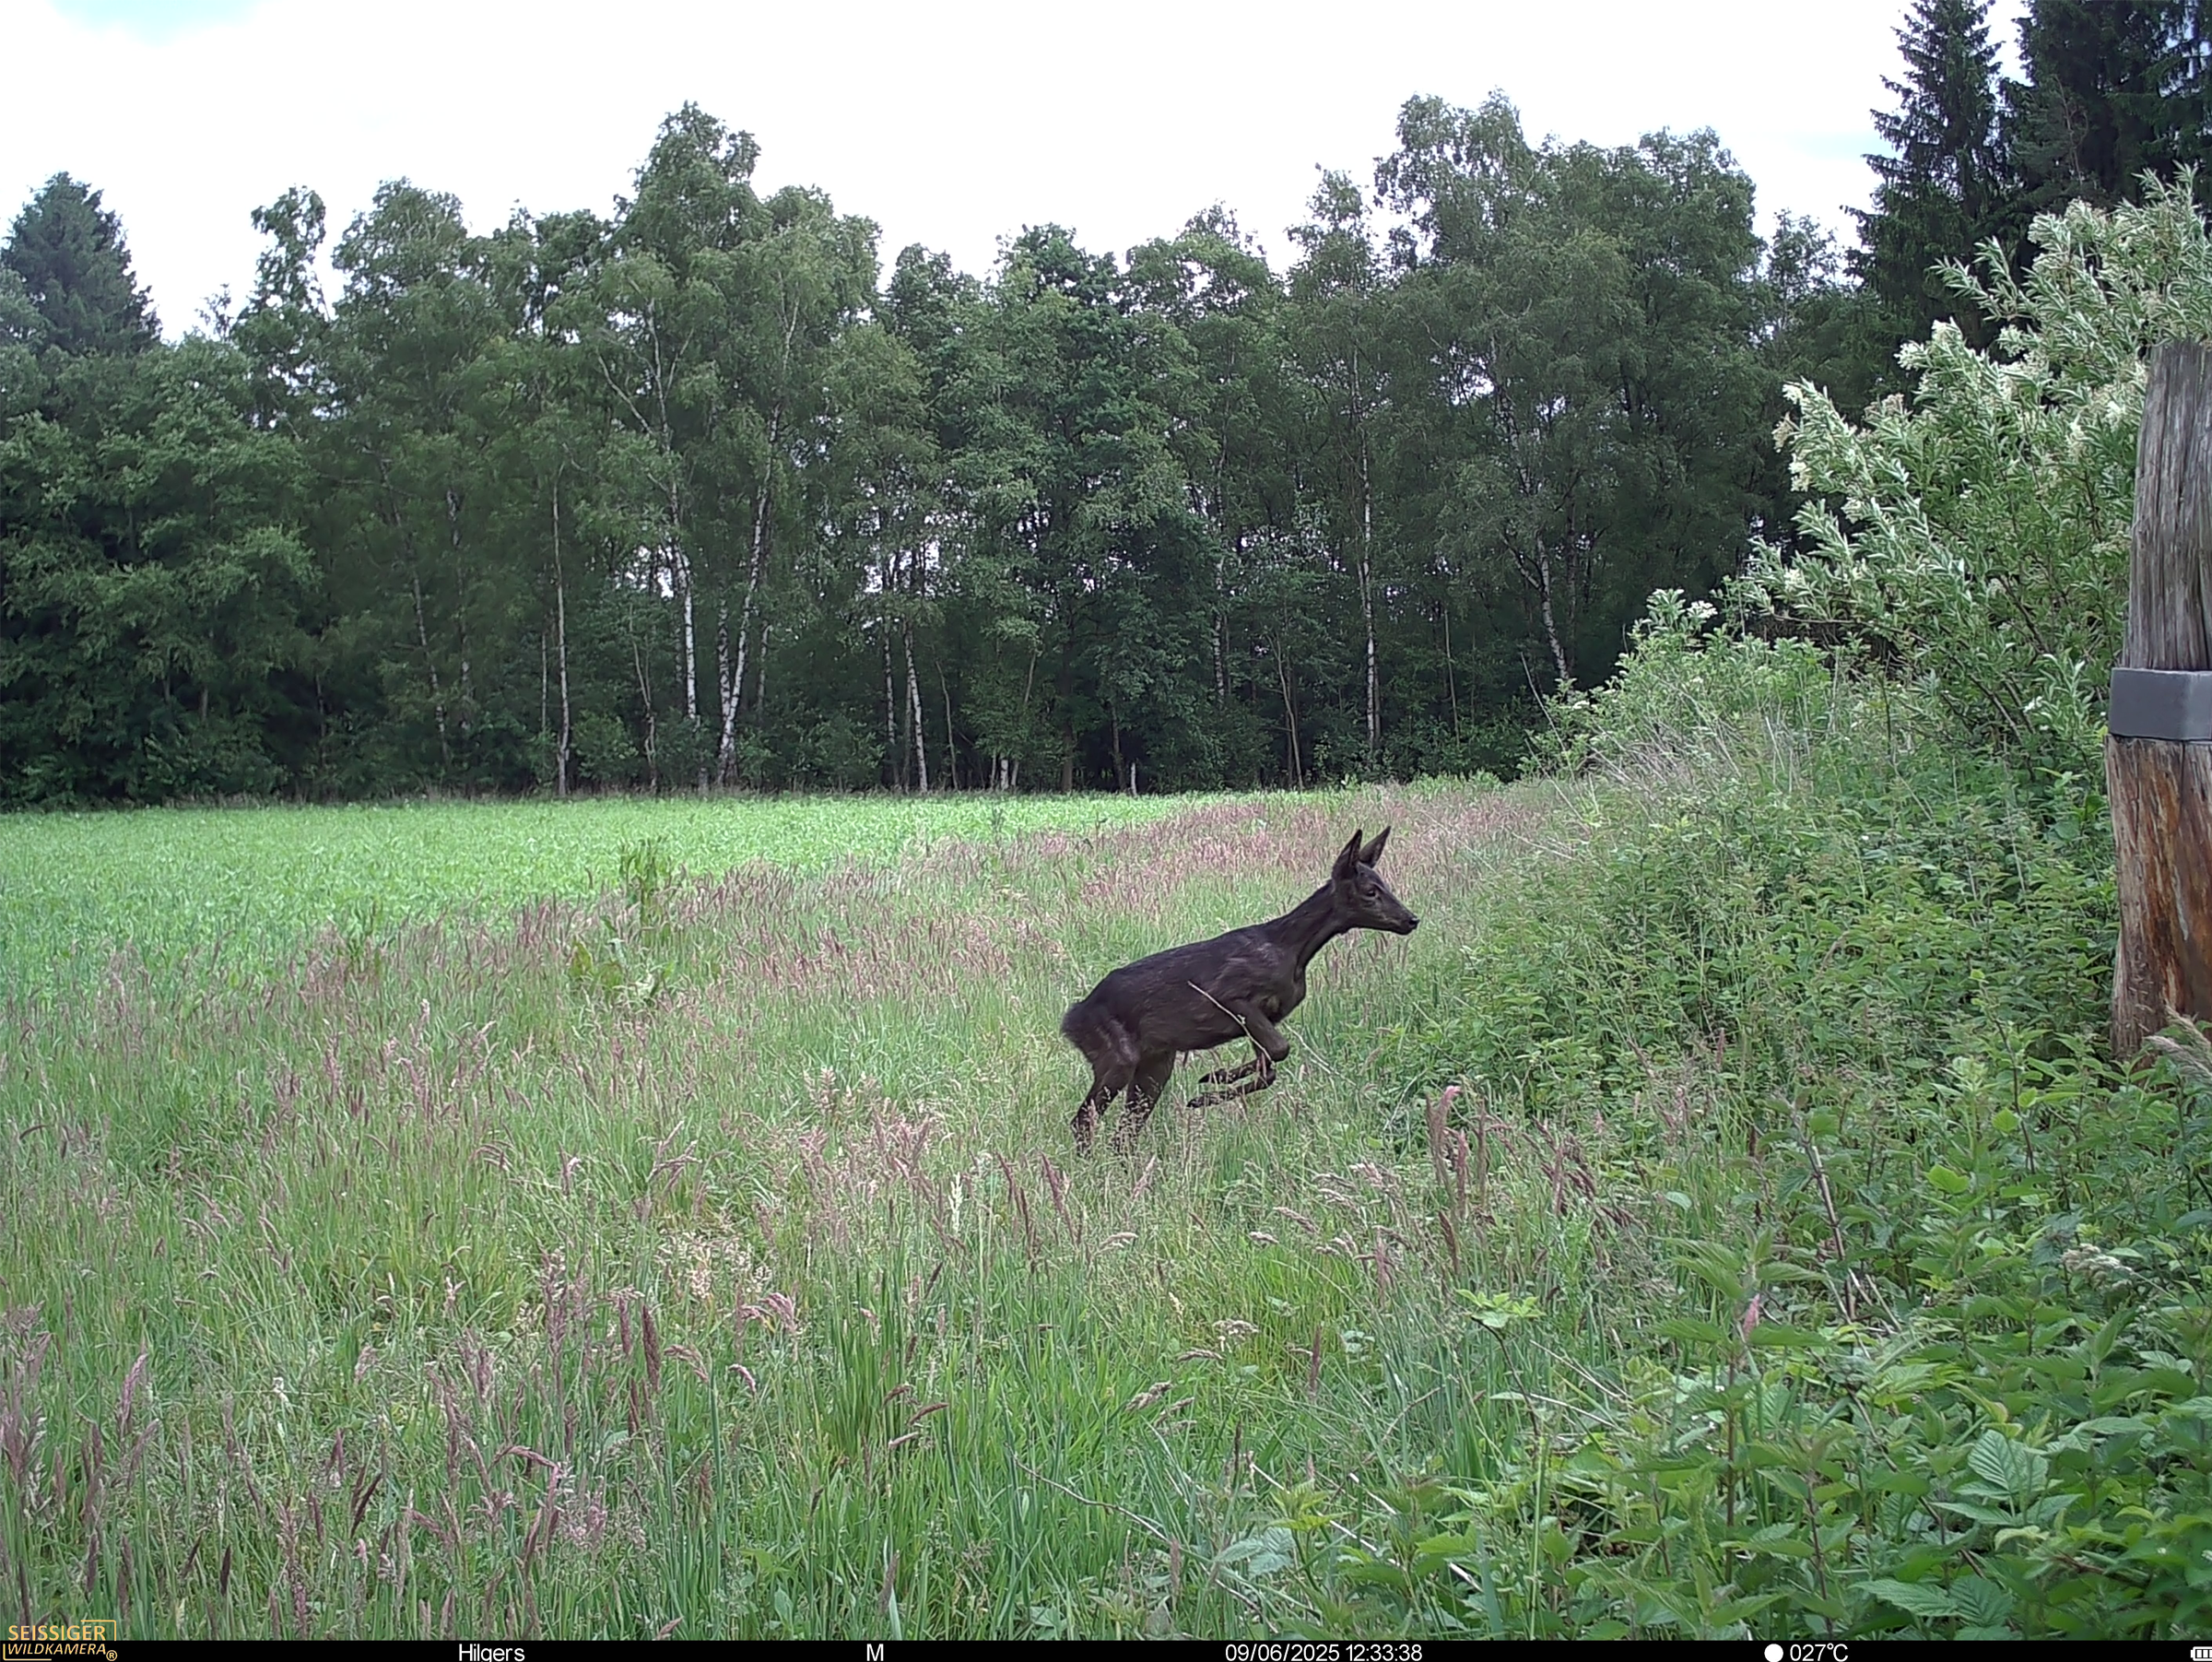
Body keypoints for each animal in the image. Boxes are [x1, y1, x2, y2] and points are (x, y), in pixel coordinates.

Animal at [1060, 826, 1419, 1154]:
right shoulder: (1230, 995)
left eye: (1385, 884)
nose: (1411, 919)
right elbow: (1279, 1051)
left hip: (1155, 1065)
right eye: (1371, 891)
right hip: (1115, 1055)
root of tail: (1069, 1021)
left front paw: (1213, 1082)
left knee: (1122, 1134)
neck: (1293, 952)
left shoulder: (1264, 1017)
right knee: (1083, 1121)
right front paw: (1210, 1087)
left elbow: (1269, 1066)